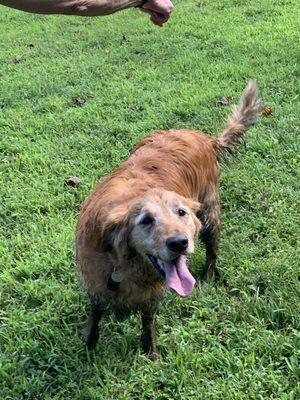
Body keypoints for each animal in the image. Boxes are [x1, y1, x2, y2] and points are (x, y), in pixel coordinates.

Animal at [75, 80, 260, 360]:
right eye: (146, 220)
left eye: (181, 213)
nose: (180, 243)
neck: (125, 263)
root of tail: (203, 137)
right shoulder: (95, 280)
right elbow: (95, 314)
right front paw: (89, 346)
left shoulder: (152, 293)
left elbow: (148, 321)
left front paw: (150, 355)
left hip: (209, 213)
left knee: (213, 248)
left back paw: (208, 275)